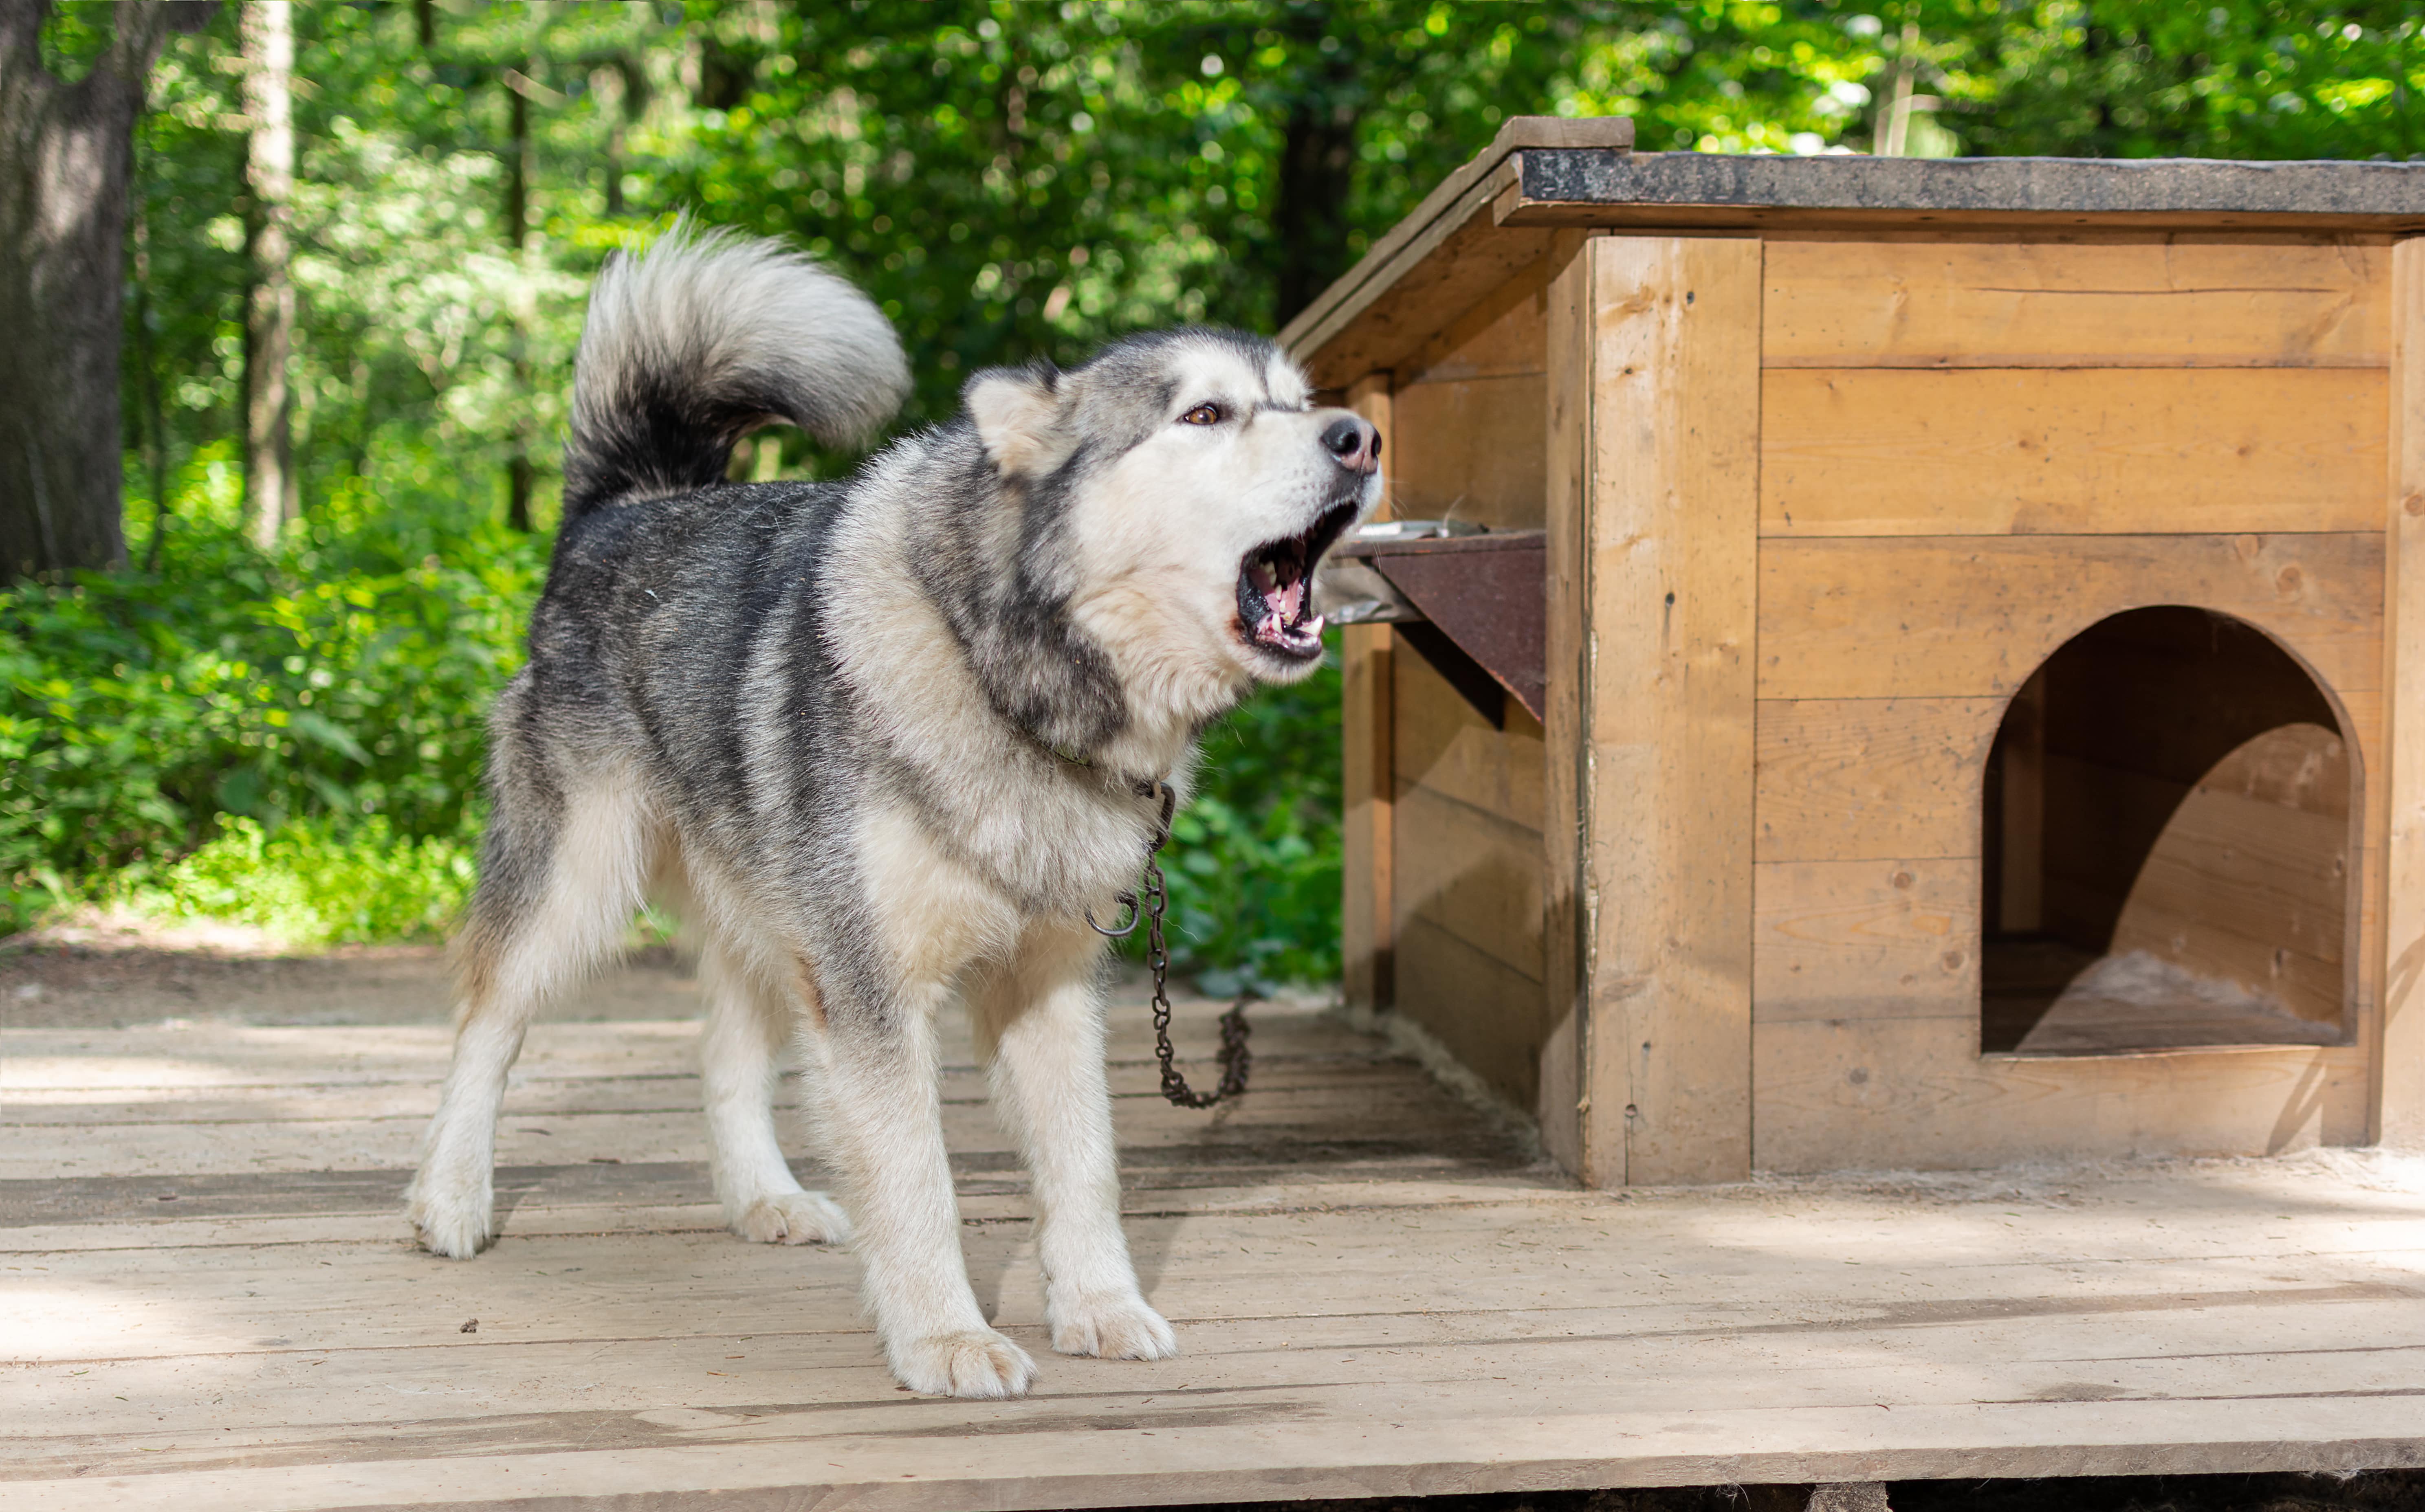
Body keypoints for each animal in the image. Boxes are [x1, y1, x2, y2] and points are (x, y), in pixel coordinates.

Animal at [407, 228, 1377, 1405]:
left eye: (1299, 401)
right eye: (1204, 414)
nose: (1361, 435)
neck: (1004, 674)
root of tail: (623, 505)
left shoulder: (1047, 984)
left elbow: (1085, 1165)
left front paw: (1098, 1306)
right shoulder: (871, 991)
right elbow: (919, 1180)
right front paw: (946, 1337)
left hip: (769, 913)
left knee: (725, 1045)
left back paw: (762, 1197)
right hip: (580, 885)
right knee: (488, 1022)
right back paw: (450, 1198)